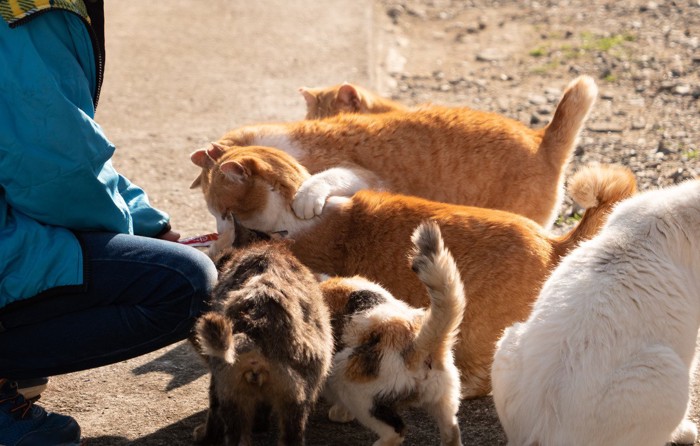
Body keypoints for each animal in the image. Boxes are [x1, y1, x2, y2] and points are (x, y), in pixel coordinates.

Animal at [194, 75, 600, 228]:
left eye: (224, 213)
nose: (219, 232)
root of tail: (541, 138)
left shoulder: (360, 174)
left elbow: (322, 179)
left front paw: (307, 197)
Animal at [322, 222, 464, 446]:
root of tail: (418, 344)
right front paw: (341, 413)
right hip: (443, 397)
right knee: (452, 429)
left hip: (352, 386)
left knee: (396, 431)